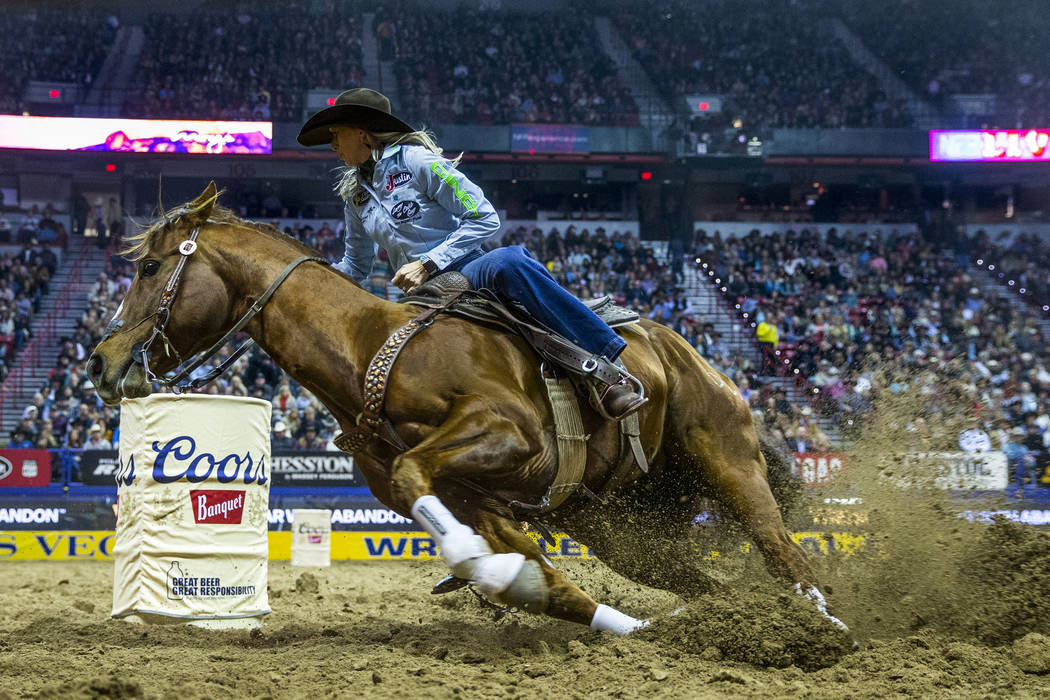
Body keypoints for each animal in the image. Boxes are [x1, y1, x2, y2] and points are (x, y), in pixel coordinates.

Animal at [88, 184, 844, 633]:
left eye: (151, 268)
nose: (99, 361)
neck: (371, 349)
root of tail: (681, 346)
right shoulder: (476, 496)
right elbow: (543, 578)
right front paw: (597, 616)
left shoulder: (508, 438)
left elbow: (417, 478)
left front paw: (483, 571)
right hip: (625, 528)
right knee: (704, 580)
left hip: (728, 459)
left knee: (782, 550)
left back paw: (824, 624)